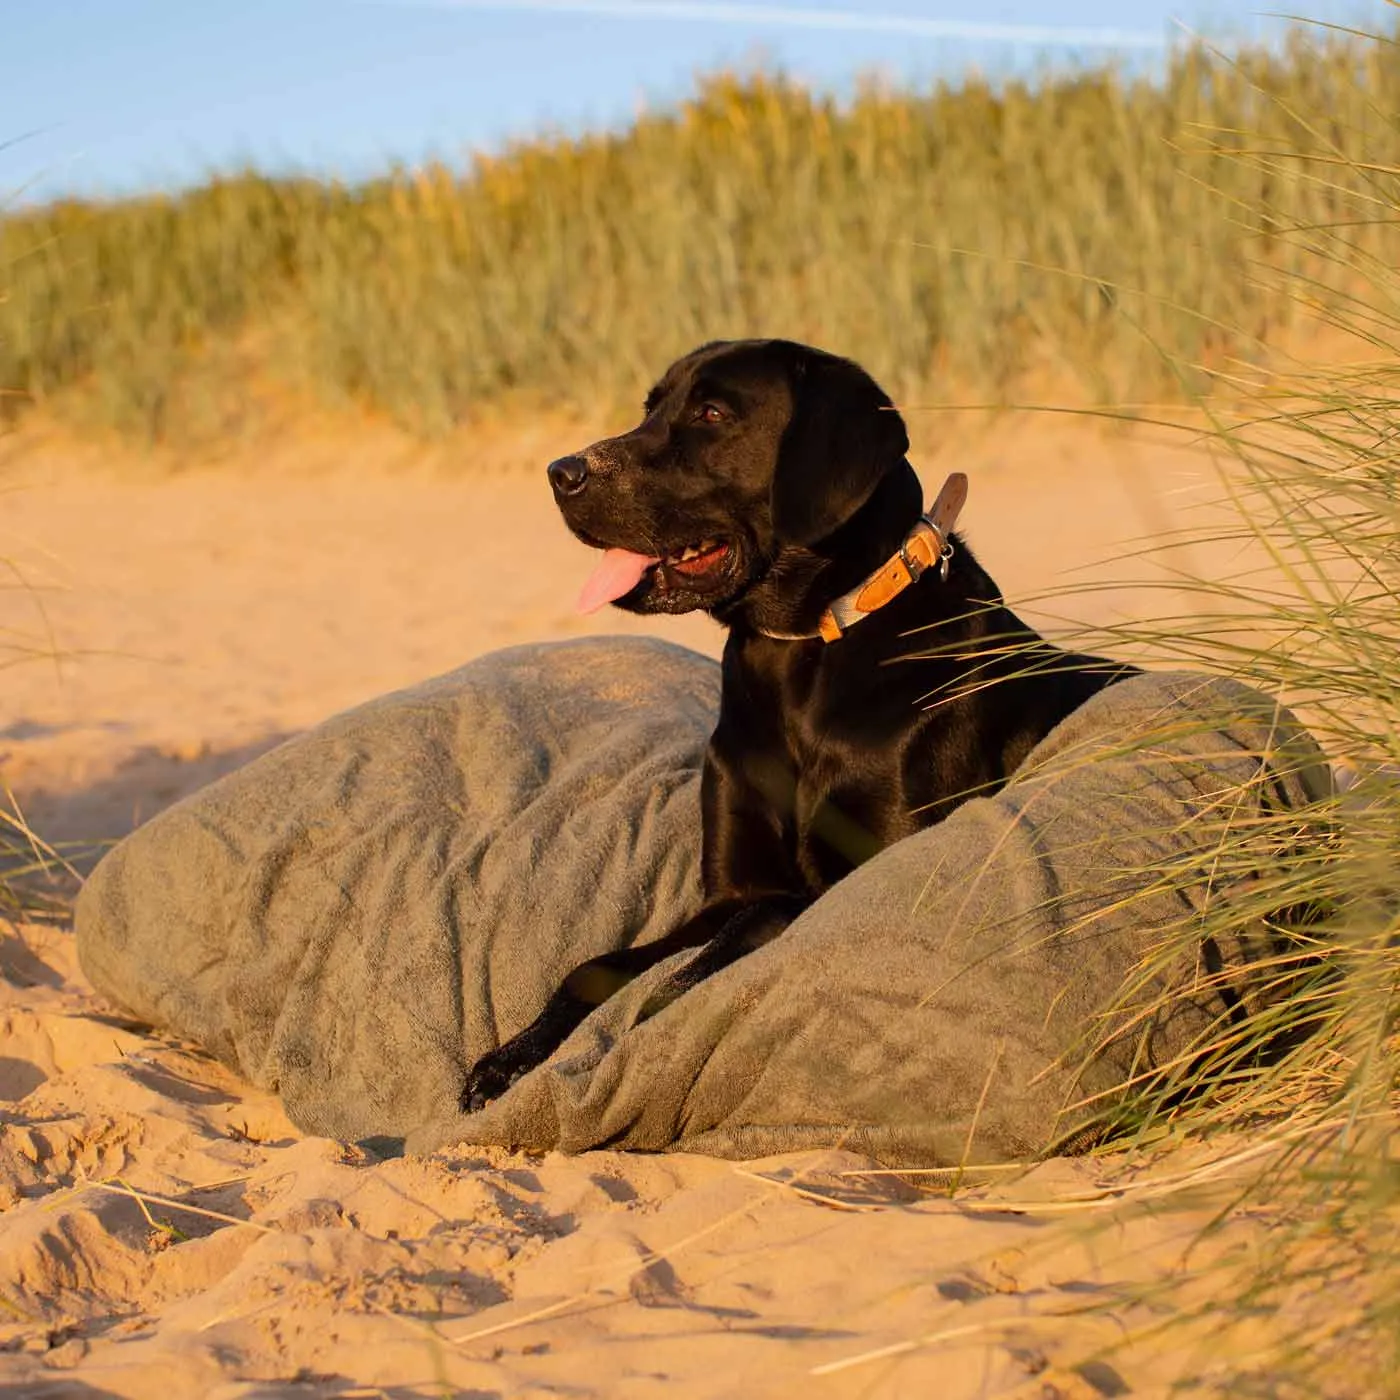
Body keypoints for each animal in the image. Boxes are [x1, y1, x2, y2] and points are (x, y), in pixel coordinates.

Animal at [464, 333, 1131, 1108]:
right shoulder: (730, 890)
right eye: (651, 406)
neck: (800, 651)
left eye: (713, 413)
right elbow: (595, 967)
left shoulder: (853, 876)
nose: (561, 472)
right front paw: (510, 1058)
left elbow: (712, 961)